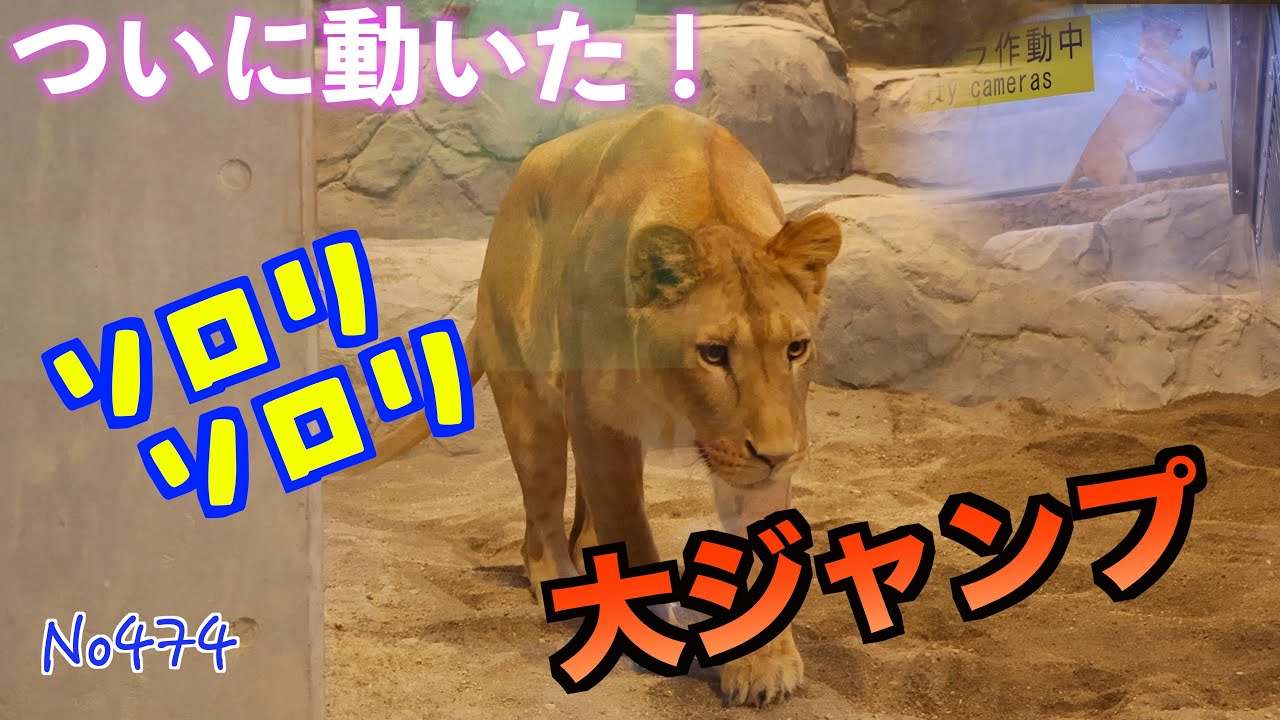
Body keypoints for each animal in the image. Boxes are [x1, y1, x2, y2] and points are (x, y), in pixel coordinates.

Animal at [374, 104, 843, 705]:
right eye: (713, 354)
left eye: (795, 348)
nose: (781, 454)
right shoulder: (598, 418)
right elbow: (631, 526)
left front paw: (763, 665)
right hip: (532, 404)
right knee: (542, 521)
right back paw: (562, 583)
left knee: (582, 523)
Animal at [1060, 12, 1217, 191]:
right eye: (1164, 24)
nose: (1179, 27)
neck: (1159, 51)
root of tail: (1081, 160)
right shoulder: (1172, 90)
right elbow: (1187, 77)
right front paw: (1198, 55)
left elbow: (1193, 80)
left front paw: (1213, 81)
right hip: (1115, 169)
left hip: (1128, 171)